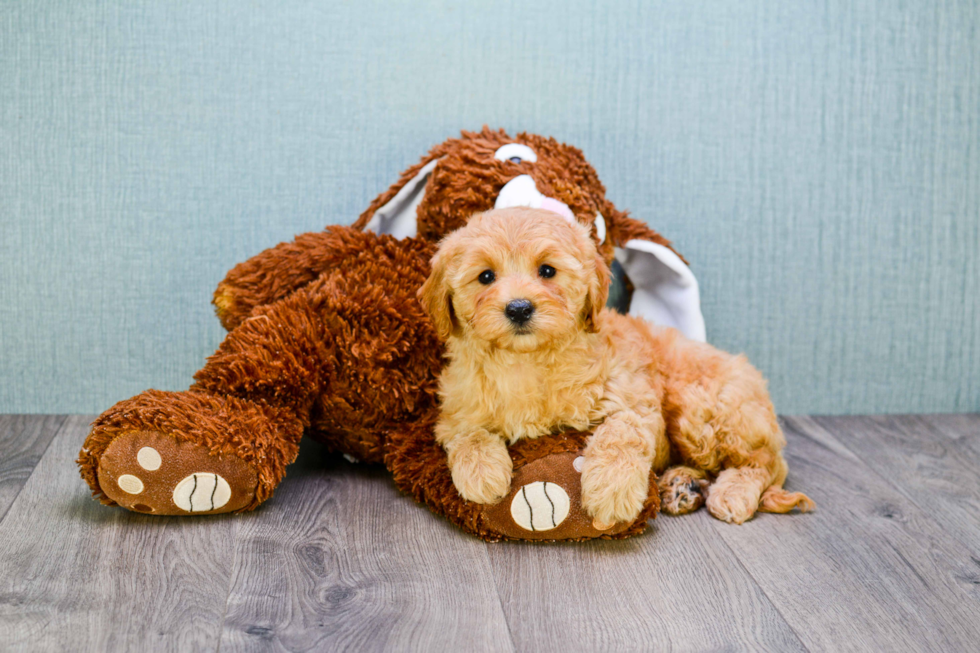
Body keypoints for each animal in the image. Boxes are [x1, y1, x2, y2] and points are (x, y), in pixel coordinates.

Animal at [420, 208, 812, 524]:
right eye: (485, 276)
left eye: (547, 271)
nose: (518, 308)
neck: (526, 360)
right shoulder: (457, 409)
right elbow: (468, 434)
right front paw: (482, 473)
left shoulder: (631, 395)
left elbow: (621, 434)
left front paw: (610, 490)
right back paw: (681, 486)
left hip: (703, 410)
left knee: (763, 463)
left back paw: (730, 493)